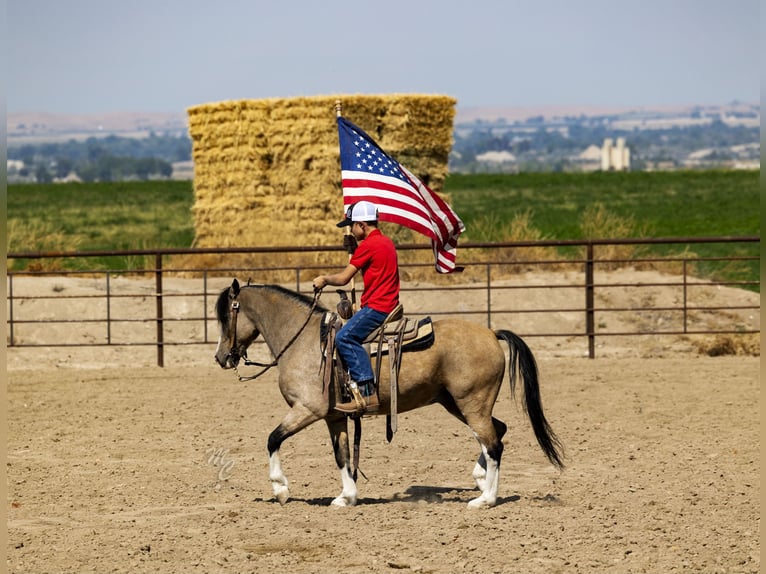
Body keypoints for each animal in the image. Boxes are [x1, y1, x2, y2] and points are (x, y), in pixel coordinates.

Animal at [214, 282, 564, 510]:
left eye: (225, 316)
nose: (221, 357)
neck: (304, 340)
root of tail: (491, 333)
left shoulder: (308, 409)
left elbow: (273, 438)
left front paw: (280, 489)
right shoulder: (335, 416)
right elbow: (342, 455)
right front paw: (346, 497)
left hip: (471, 402)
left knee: (492, 442)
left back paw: (485, 499)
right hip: (456, 402)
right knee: (497, 432)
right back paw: (480, 479)